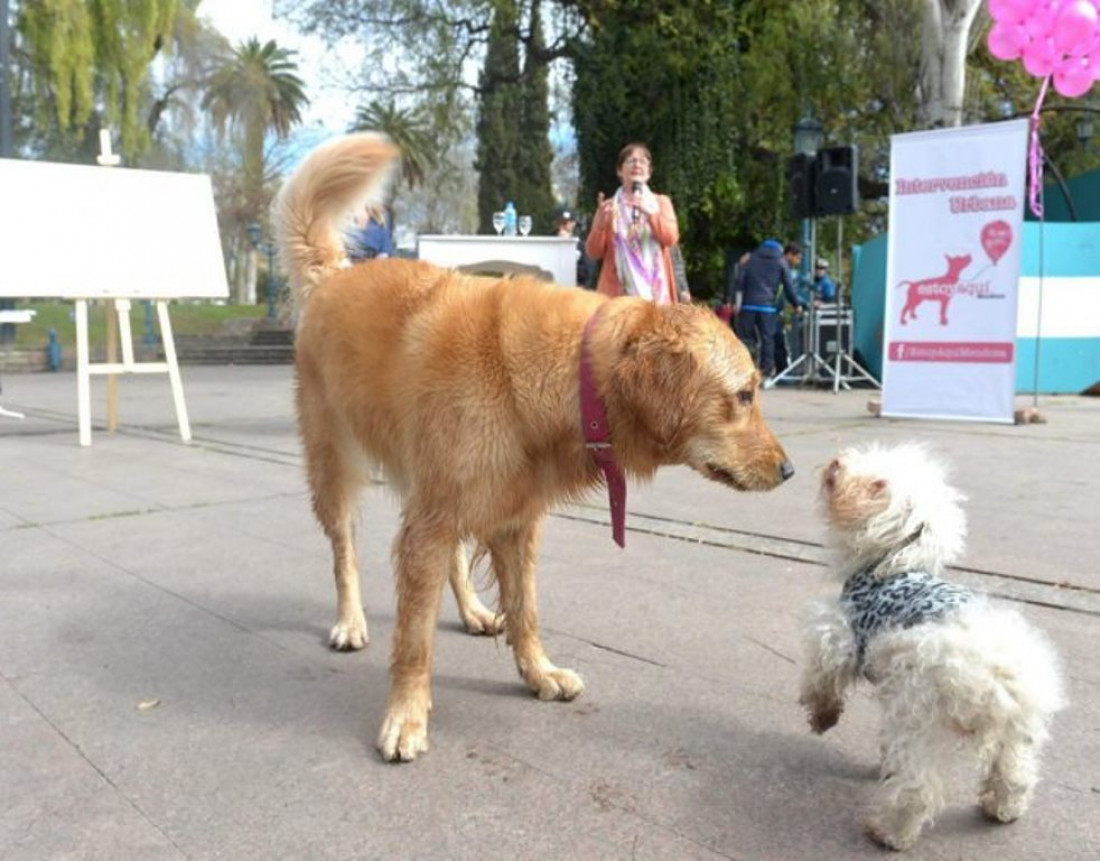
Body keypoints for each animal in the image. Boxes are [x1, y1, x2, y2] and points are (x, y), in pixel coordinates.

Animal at [271, 131, 796, 765]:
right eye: (743, 395)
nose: (790, 470)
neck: (572, 375)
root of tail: (334, 276)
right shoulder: (432, 523)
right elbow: (414, 641)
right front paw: (406, 717)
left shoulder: (512, 523)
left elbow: (526, 611)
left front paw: (538, 674)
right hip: (338, 469)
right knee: (344, 553)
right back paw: (349, 622)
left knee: (453, 559)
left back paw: (473, 612)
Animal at [800, 448, 1064, 853]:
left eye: (878, 485)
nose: (837, 462)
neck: (890, 563)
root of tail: (995, 677)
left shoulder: (840, 632)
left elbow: (823, 674)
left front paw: (822, 715)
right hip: (1016, 731)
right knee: (1015, 774)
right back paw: (1001, 809)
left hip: (919, 718)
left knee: (916, 790)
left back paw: (889, 833)